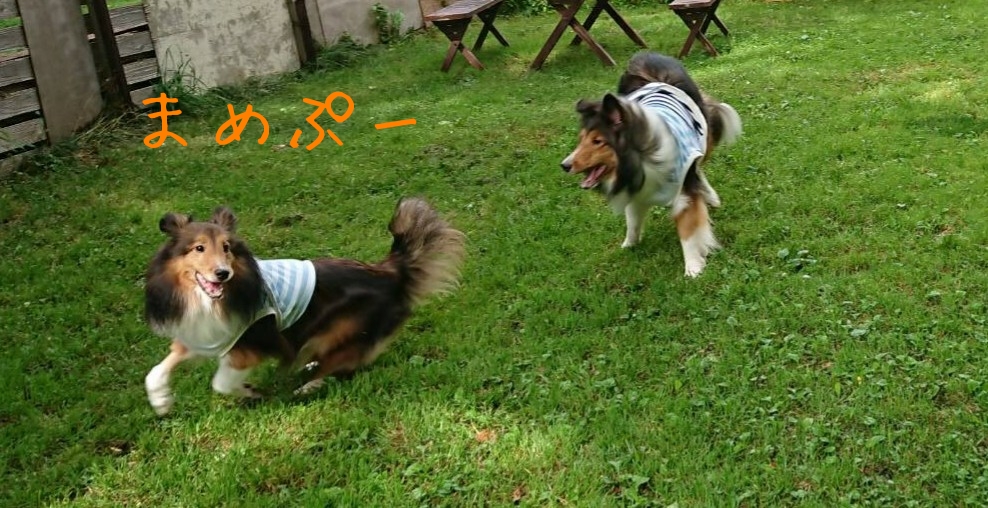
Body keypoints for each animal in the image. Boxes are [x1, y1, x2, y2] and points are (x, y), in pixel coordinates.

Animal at [143, 198, 466, 415]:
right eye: (199, 248)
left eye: (227, 248)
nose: (223, 273)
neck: (210, 299)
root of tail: (389, 271)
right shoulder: (204, 334)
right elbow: (157, 370)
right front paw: (161, 401)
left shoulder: (251, 342)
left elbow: (221, 381)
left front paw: (249, 391)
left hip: (345, 327)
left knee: (345, 363)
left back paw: (310, 384)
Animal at [561, 51, 742, 277]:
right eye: (581, 139)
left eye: (597, 141)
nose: (565, 165)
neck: (641, 159)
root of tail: (646, 56)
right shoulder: (636, 192)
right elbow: (632, 223)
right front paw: (628, 246)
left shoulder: (684, 195)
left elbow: (688, 232)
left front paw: (693, 268)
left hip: (701, 136)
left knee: (698, 165)